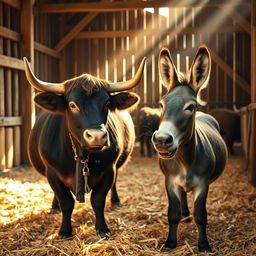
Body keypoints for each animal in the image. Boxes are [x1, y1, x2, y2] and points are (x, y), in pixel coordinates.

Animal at [23, 57, 146, 239]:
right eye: (73, 105)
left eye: (107, 103)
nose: (96, 136)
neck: (82, 155)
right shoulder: (52, 172)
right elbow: (66, 202)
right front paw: (65, 230)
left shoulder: (109, 170)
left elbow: (98, 200)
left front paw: (102, 228)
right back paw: (54, 207)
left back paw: (116, 201)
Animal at [151, 45, 227, 252]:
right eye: (161, 104)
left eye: (190, 107)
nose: (161, 140)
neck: (184, 161)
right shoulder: (170, 182)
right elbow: (172, 213)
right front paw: (169, 244)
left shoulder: (203, 184)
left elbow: (201, 215)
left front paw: (204, 245)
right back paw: (185, 215)